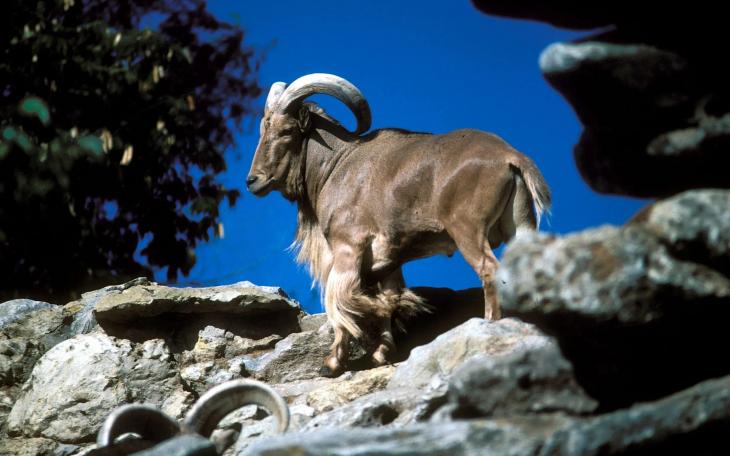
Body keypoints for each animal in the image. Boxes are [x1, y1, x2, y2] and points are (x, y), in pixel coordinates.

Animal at [247, 73, 551, 377]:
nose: (253, 181)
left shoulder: (348, 247)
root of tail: (511, 157)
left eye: (287, 131)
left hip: (467, 229)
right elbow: (388, 298)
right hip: (520, 226)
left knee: (489, 270)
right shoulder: (389, 261)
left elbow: (341, 302)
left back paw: (490, 323)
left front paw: (331, 363)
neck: (336, 165)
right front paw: (381, 353)